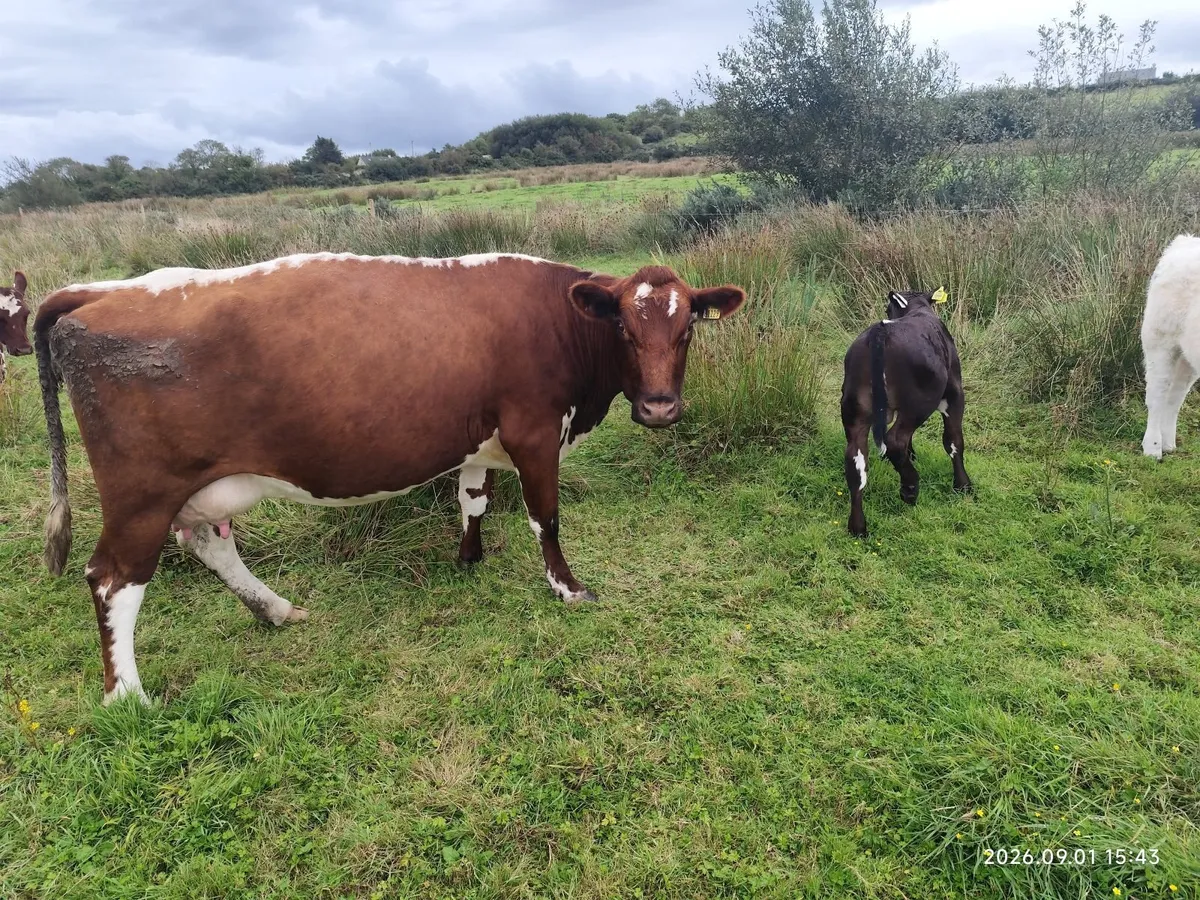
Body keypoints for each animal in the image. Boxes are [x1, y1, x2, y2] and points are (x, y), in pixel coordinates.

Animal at [33, 252, 746, 705]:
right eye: (623, 325)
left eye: (687, 327)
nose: (659, 407)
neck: (556, 319)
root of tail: (101, 290)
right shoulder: (536, 432)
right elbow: (545, 516)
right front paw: (569, 589)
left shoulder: (477, 437)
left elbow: (474, 498)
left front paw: (470, 557)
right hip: (141, 493)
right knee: (113, 580)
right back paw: (128, 696)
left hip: (196, 487)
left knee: (208, 543)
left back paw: (274, 609)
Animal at [840, 288, 972, 536]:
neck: (918, 308)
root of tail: (880, 330)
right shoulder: (954, 394)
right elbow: (953, 440)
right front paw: (963, 484)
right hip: (920, 403)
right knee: (895, 440)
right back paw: (910, 488)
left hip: (855, 411)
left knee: (856, 461)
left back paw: (858, 527)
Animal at [1141, 234, 1200, 460]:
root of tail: (1185, 241)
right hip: (1159, 339)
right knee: (1157, 393)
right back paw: (1153, 448)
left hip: (1187, 355)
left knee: (1175, 396)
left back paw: (1168, 443)